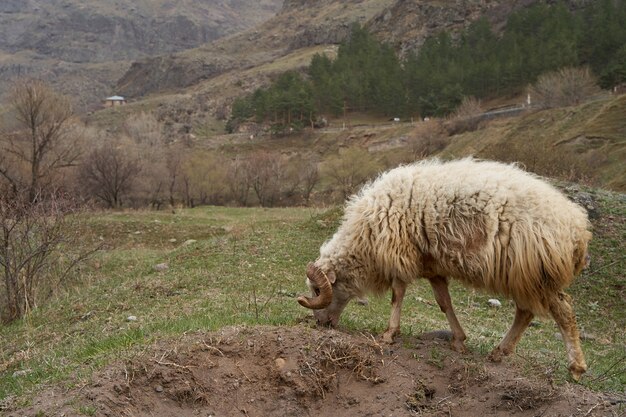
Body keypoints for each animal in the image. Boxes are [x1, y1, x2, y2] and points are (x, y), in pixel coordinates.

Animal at [298, 158, 588, 378]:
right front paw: (458, 340)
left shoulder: (400, 254)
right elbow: (444, 303)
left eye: (317, 289)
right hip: (524, 277)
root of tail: (578, 228)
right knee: (525, 313)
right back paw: (499, 352)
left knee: (563, 311)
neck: (364, 237)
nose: (321, 324)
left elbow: (397, 295)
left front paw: (389, 334)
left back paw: (576, 367)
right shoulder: (432, 266)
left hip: (538, 273)